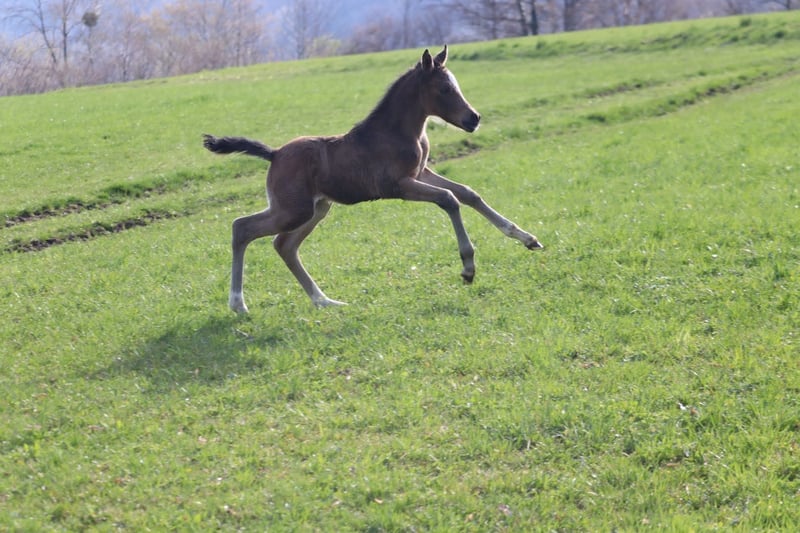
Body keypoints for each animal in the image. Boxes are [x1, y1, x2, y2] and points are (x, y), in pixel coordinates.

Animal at [203, 46, 542, 313]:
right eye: (444, 89)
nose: (473, 119)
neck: (398, 132)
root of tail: (274, 154)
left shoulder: (421, 173)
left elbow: (468, 193)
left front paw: (527, 238)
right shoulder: (399, 185)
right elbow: (449, 199)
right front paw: (468, 267)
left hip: (316, 208)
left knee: (284, 246)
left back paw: (324, 301)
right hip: (293, 210)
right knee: (242, 228)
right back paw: (238, 303)